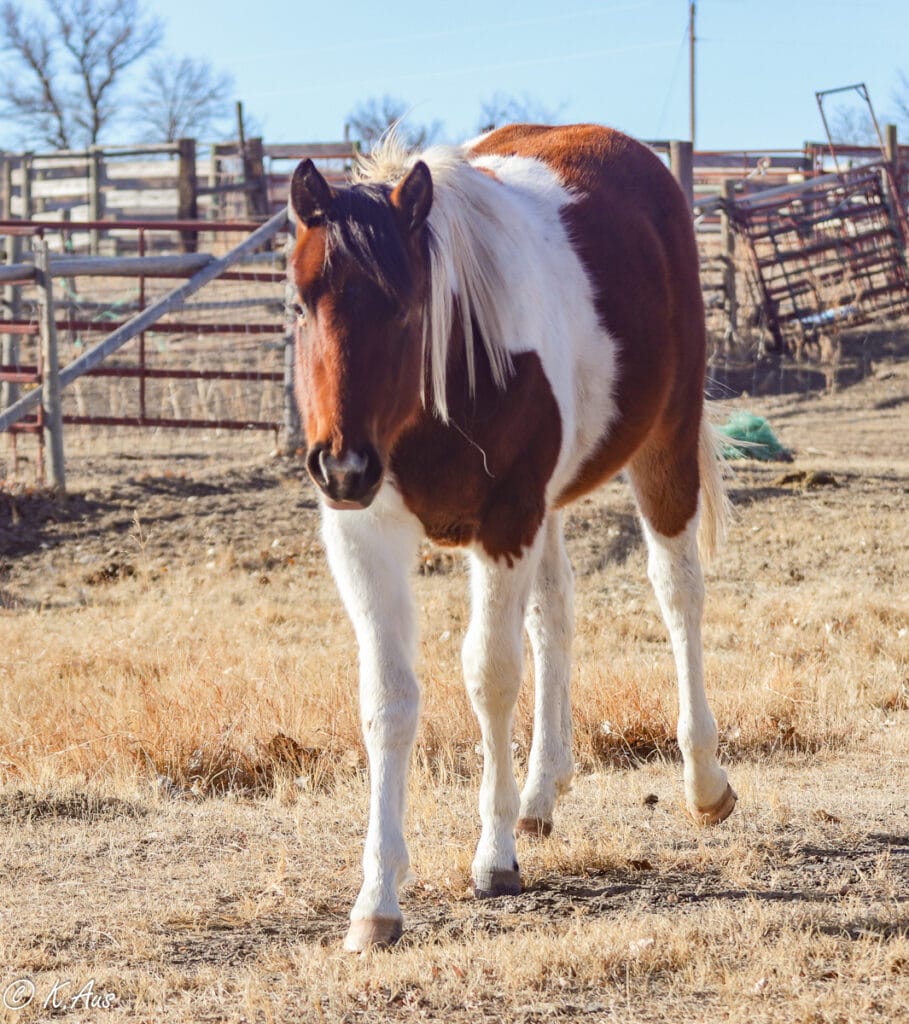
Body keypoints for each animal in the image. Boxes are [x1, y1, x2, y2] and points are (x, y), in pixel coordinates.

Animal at [287, 123, 736, 953]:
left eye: (404, 306)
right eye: (299, 304)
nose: (340, 465)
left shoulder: (504, 521)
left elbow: (488, 675)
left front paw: (493, 857)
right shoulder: (365, 531)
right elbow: (388, 700)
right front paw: (376, 900)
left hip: (662, 444)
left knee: (677, 595)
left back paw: (703, 781)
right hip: (548, 505)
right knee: (554, 615)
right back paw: (541, 789)